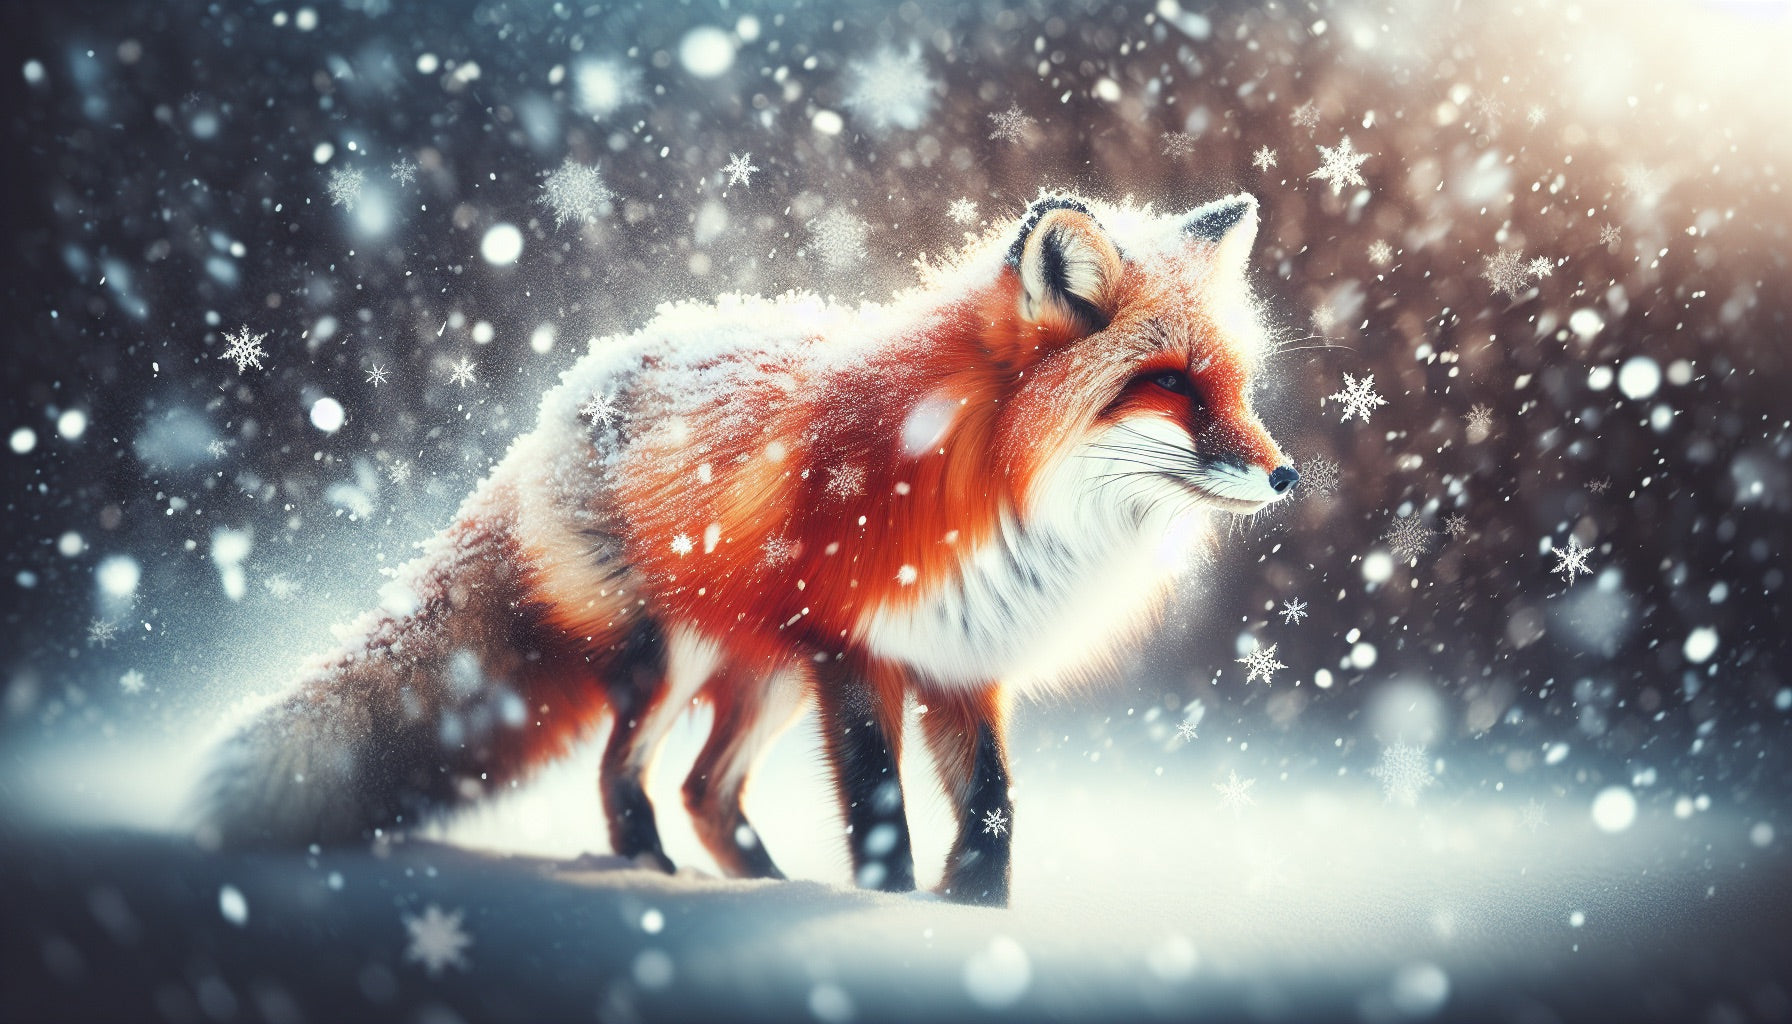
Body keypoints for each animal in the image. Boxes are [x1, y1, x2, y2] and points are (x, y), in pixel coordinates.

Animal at [199, 191, 1297, 907]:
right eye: (1171, 383)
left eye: (1239, 385)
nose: (1287, 475)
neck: (986, 492)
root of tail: (559, 403)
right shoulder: (851, 647)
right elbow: (881, 806)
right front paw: (880, 915)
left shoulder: (961, 658)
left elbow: (992, 810)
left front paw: (971, 921)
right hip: (680, 655)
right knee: (627, 773)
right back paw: (654, 883)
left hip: (767, 672)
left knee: (703, 787)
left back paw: (763, 886)